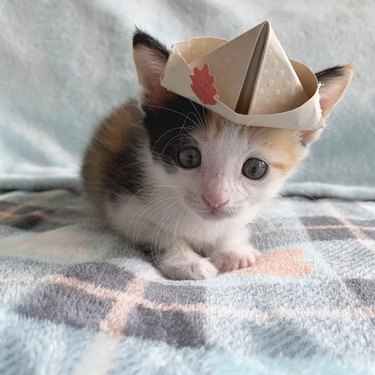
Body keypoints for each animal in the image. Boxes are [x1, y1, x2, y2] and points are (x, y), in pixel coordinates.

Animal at [81, 30, 352, 280]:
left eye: (255, 169)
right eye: (189, 158)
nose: (215, 200)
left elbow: (235, 225)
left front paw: (233, 249)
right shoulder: (122, 203)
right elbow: (158, 231)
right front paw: (187, 262)